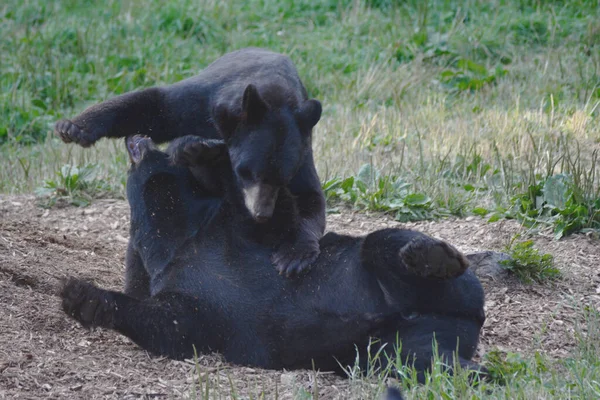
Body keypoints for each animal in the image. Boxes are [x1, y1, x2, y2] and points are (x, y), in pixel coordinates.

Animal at [55, 47, 326, 276]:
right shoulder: (201, 104)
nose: (262, 213)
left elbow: (309, 196)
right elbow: (155, 107)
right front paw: (73, 127)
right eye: (247, 172)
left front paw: (293, 255)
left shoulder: (303, 149)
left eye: (282, 179)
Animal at [61, 136, 486, 382]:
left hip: (404, 281)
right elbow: (164, 325)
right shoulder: (188, 307)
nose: (136, 136)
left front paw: (199, 150)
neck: (178, 237)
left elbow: (273, 211)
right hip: (388, 349)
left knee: (385, 245)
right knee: (422, 359)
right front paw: (84, 298)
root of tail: (468, 323)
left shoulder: (245, 230)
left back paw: (432, 257)